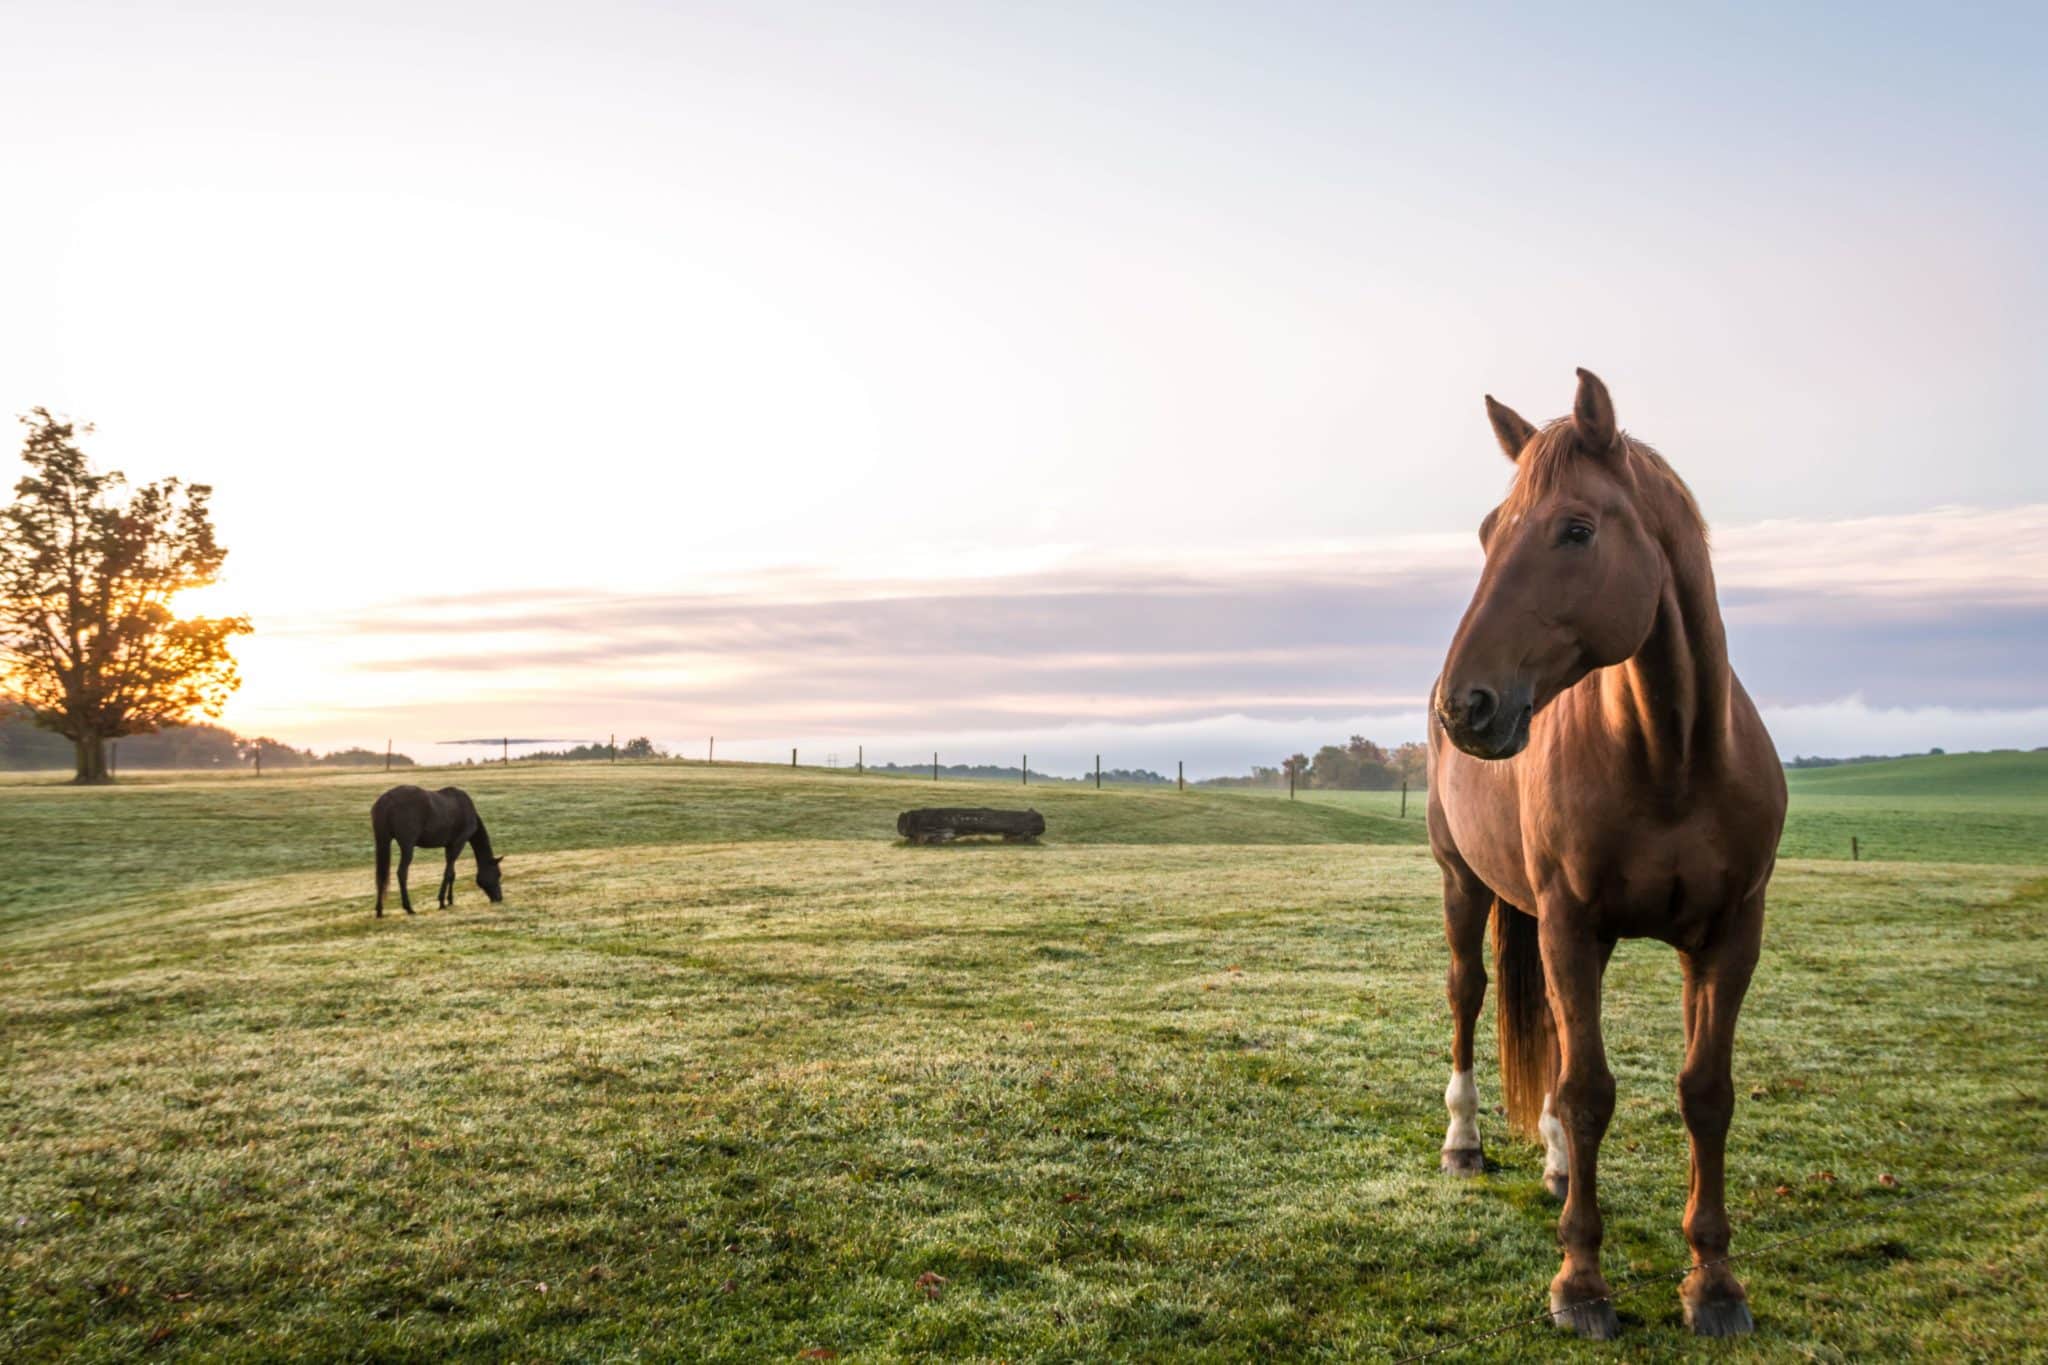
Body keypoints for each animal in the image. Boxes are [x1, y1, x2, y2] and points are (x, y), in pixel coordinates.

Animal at [368, 785, 499, 912]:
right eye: (498, 874)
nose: (499, 898)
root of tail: (387, 799)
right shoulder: (458, 844)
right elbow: (448, 874)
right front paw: (442, 902)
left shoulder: (449, 846)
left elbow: (452, 874)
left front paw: (450, 900)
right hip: (407, 846)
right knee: (402, 873)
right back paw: (408, 908)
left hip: (383, 841)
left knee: (381, 875)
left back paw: (379, 910)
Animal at [1433, 368, 1785, 1342]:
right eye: (1489, 530)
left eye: (1577, 529)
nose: (1463, 705)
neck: (1671, 756)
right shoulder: (1569, 923)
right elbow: (1590, 1091)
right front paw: (1580, 1282)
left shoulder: (1729, 936)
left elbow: (1706, 1092)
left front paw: (1715, 1281)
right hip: (1464, 884)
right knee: (1469, 996)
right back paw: (1464, 1143)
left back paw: (1556, 1166)